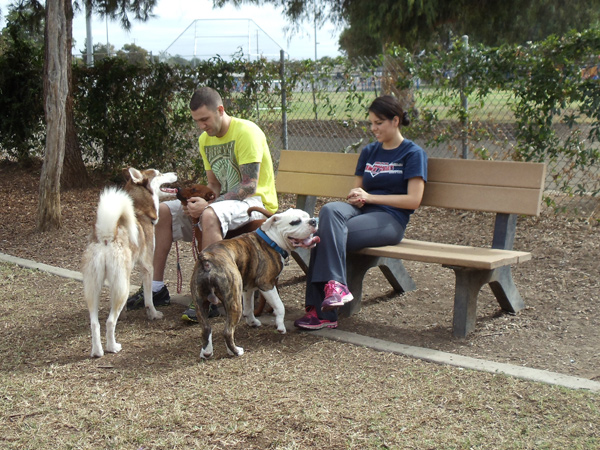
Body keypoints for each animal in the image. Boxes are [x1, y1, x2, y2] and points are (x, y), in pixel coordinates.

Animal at [82, 167, 177, 358]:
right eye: (159, 174)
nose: (176, 173)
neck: (140, 209)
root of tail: (106, 236)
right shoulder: (147, 267)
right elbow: (148, 299)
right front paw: (153, 314)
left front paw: (124, 314)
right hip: (123, 287)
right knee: (109, 322)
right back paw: (113, 347)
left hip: (95, 287)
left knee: (95, 323)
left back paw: (97, 351)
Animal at [190, 208, 320, 359]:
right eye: (295, 222)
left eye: (308, 216)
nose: (313, 221)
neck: (272, 239)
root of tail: (207, 259)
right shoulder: (267, 284)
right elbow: (279, 306)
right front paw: (280, 326)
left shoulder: (248, 288)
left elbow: (249, 307)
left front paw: (252, 322)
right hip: (233, 302)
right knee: (227, 331)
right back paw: (236, 351)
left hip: (200, 302)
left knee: (206, 328)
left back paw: (207, 352)